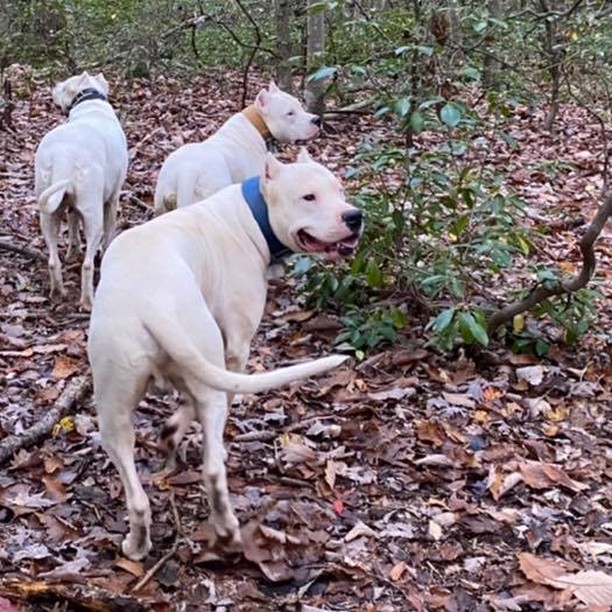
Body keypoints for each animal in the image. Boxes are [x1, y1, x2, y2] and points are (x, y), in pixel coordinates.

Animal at [87, 149, 364, 560]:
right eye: (308, 197)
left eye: (340, 190)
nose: (354, 216)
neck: (252, 214)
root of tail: (149, 301)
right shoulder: (236, 348)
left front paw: (171, 433)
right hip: (200, 366)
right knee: (213, 468)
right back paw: (228, 531)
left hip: (113, 409)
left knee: (136, 493)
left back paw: (137, 544)